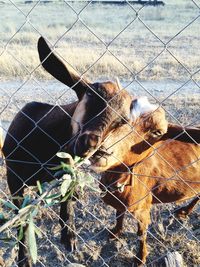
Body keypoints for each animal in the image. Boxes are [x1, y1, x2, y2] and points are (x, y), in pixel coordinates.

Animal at [90, 97, 200, 266]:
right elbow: (119, 214)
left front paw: (140, 258)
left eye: (157, 132)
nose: (101, 151)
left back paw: (185, 211)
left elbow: (141, 234)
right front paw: (115, 232)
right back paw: (185, 211)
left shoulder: (142, 207)